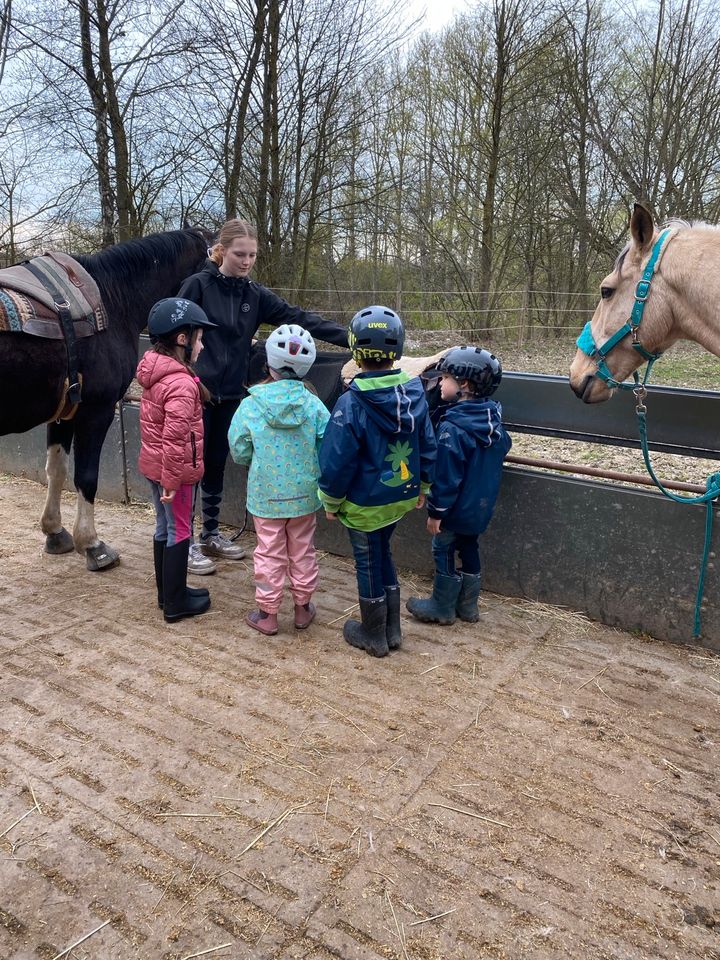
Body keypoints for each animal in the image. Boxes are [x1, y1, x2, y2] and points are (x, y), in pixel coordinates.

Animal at [0, 228, 208, 568]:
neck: (114, 298)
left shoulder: (64, 411)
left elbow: (56, 470)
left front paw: (55, 532)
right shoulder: (96, 412)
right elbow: (86, 477)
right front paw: (92, 544)